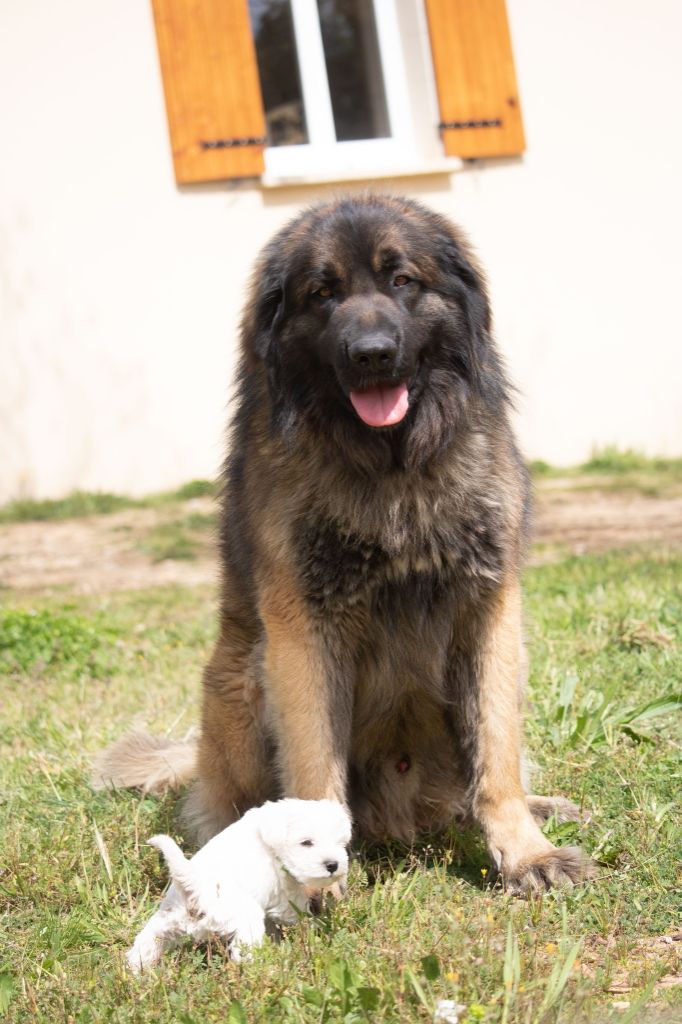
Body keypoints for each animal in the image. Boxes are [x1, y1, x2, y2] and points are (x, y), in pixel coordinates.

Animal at [96, 195, 589, 892]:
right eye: (322, 293)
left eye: (402, 280)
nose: (373, 354)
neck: (391, 465)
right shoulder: (304, 628)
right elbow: (314, 769)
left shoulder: (489, 608)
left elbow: (495, 756)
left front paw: (527, 854)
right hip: (246, 678)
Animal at [125, 794, 350, 970]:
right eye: (306, 843)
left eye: (340, 843)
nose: (333, 865)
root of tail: (195, 888)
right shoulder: (285, 894)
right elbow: (297, 912)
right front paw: (315, 925)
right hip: (245, 922)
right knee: (245, 954)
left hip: (163, 924)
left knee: (144, 946)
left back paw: (137, 975)